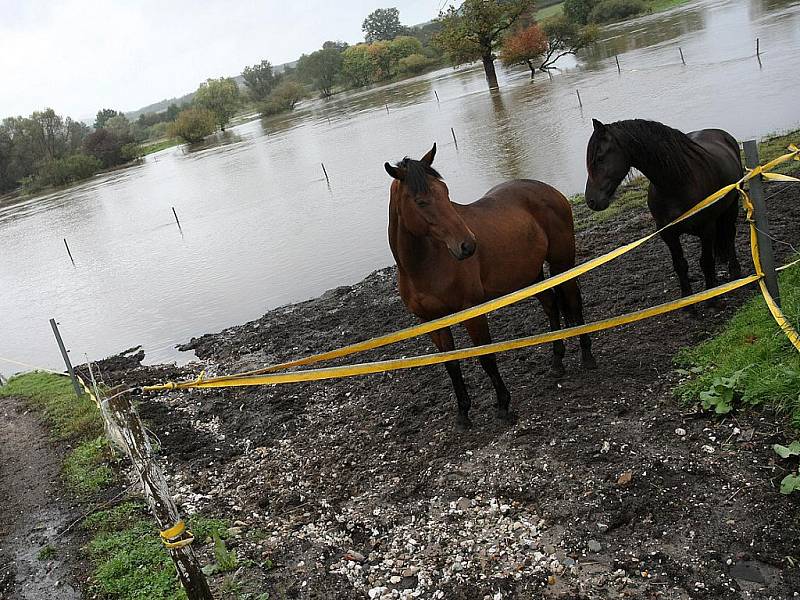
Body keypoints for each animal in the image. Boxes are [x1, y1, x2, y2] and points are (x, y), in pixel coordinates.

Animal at [384, 143, 596, 428]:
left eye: (445, 192)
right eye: (421, 201)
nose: (467, 245)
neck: (424, 265)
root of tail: (548, 190)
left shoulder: (472, 312)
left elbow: (486, 357)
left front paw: (504, 406)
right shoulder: (432, 322)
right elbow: (451, 365)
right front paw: (463, 414)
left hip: (562, 263)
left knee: (573, 302)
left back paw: (587, 357)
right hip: (530, 275)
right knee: (552, 305)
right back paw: (556, 361)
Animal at [580, 118, 744, 296]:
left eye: (599, 158)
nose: (591, 200)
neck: (676, 184)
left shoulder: (706, 229)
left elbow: (706, 262)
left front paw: (711, 296)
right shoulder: (668, 233)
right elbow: (680, 265)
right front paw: (687, 299)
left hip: (732, 207)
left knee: (729, 235)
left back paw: (735, 271)